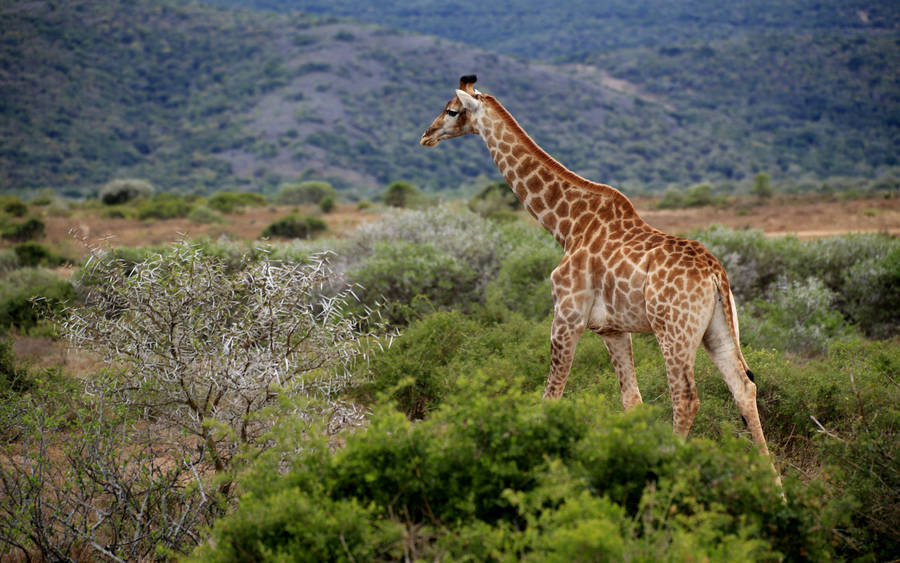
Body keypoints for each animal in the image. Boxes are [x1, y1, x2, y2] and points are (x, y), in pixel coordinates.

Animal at [421, 75, 778, 469]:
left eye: (452, 110)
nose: (426, 135)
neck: (567, 225)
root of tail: (715, 273)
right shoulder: (612, 329)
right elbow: (632, 401)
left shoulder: (567, 315)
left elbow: (551, 396)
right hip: (717, 329)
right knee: (744, 386)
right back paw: (773, 482)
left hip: (674, 330)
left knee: (686, 398)